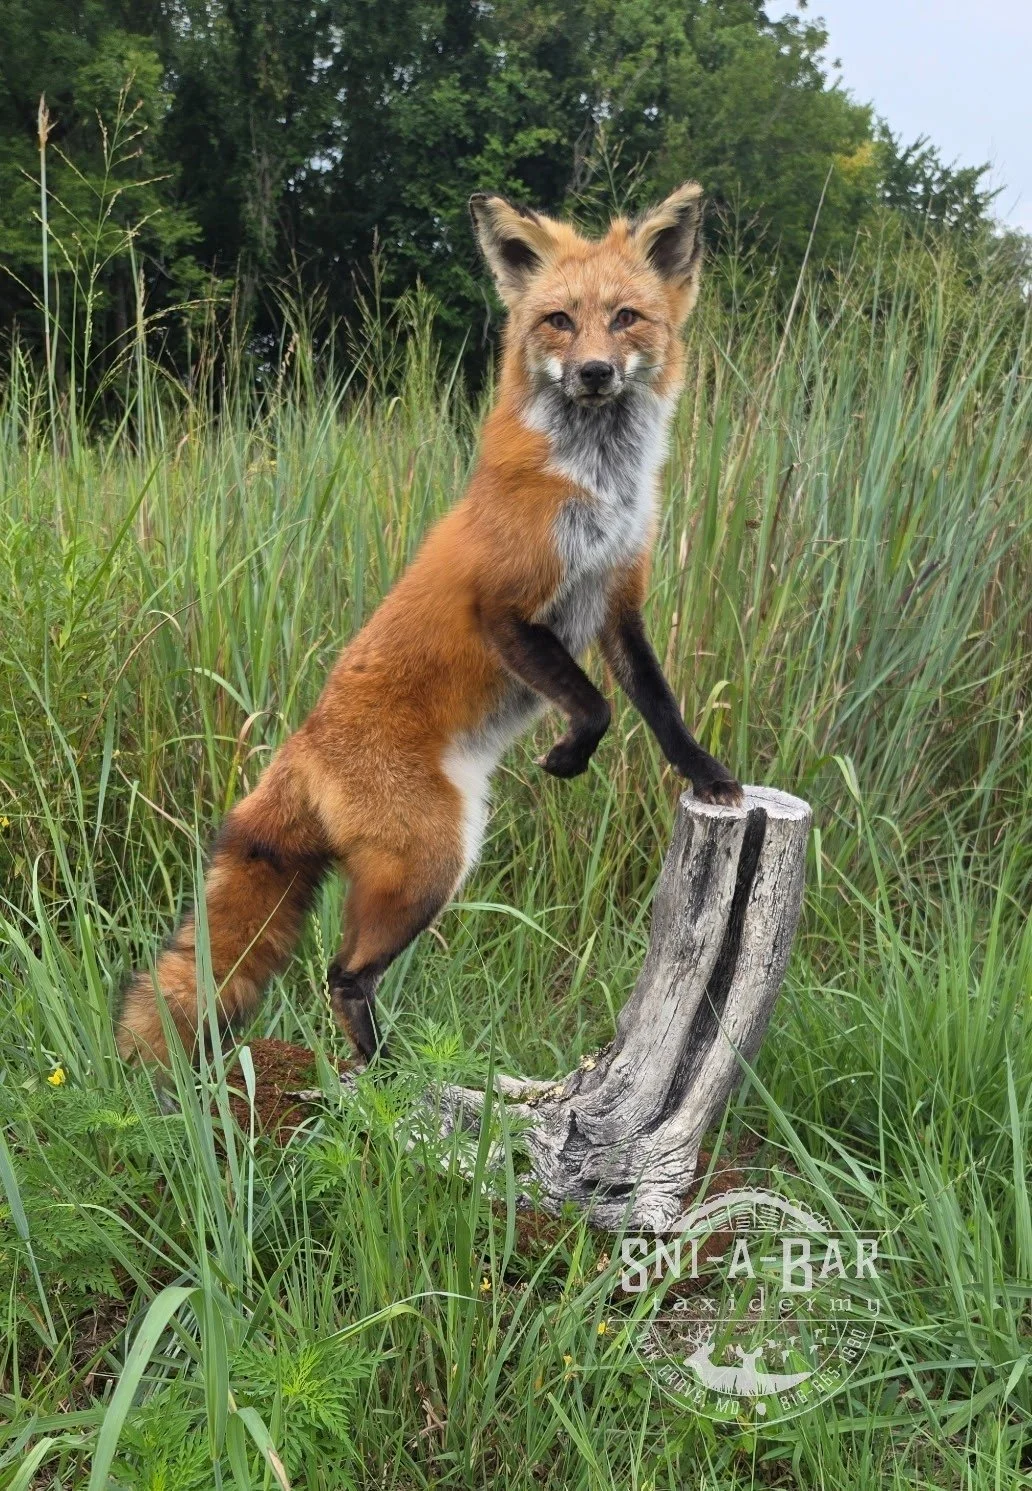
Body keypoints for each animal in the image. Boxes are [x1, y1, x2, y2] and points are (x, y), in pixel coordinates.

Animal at [117, 181, 743, 1067]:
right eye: (559, 320)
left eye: (626, 317)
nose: (593, 372)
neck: (595, 484)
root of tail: (300, 748)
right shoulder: (506, 607)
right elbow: (594, 705)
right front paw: (569, 756)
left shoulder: (618, 601)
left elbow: (658, 706)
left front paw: (707, 774)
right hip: (435, 861)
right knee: (342, 974)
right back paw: (388, 1075)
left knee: (345, 974)